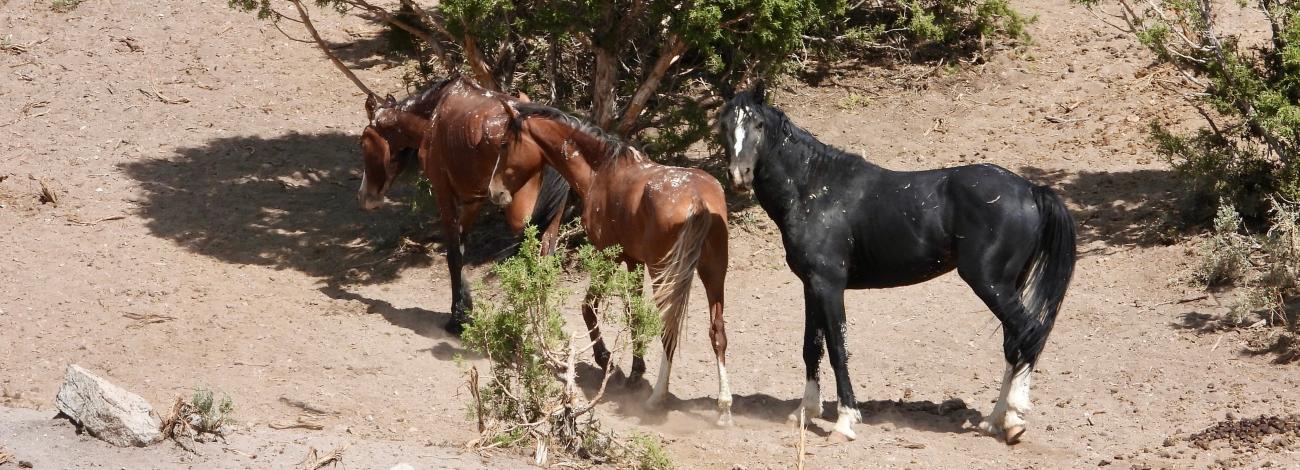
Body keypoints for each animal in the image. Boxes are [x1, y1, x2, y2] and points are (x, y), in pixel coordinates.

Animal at [358, 76, 571, 334]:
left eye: (363, 143)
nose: (365, 197)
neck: (435, 117)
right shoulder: (473, 199)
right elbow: (460, 247)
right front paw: (465, 306)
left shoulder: (444, 195)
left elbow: (453, 255)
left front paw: (457, 318)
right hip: (551, 220)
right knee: (545, 260)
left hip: (522, 217)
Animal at [493, 100, 735, 426]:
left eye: (504, 144)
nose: (494, 191)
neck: (602, 170)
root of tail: (697, 198)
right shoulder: (633, 262)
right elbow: (634, 315)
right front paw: (635, 371)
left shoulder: (608, 255)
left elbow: (588, 307)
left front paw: (607, 361)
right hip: (713, 273)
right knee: (717, 332)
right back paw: (724, 407)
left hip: (665, 274)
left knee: (669, 330)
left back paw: (657, 398)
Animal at [719, 85, 1076, 444]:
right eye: (725, 126)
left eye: (758, 124)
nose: (739, 176)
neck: (815, 190)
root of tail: (1031, 190)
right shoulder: (811, 286)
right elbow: (812, 347)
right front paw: (805, 411)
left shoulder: (829, 285)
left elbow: (837, 348)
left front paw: (845, 421)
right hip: (1007, 285)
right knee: (1013, 343)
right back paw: (994, 420)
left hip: (990, 283)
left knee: (1029, 333)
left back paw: (1015, 419)